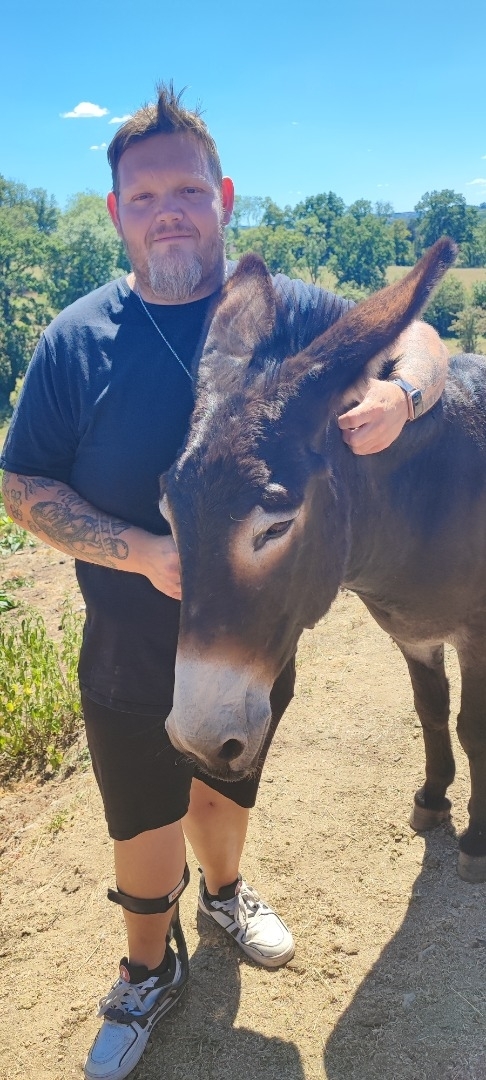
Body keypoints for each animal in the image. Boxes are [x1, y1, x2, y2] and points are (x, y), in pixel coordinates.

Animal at [160, 237, 486, 885]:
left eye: (278, 526)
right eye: (168, 511)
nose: (197, 744)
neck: (431, 500)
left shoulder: (481, 635)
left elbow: (476, 729)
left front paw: (481, 840)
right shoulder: (413, 633)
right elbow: (432, 709)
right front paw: (434, 798)